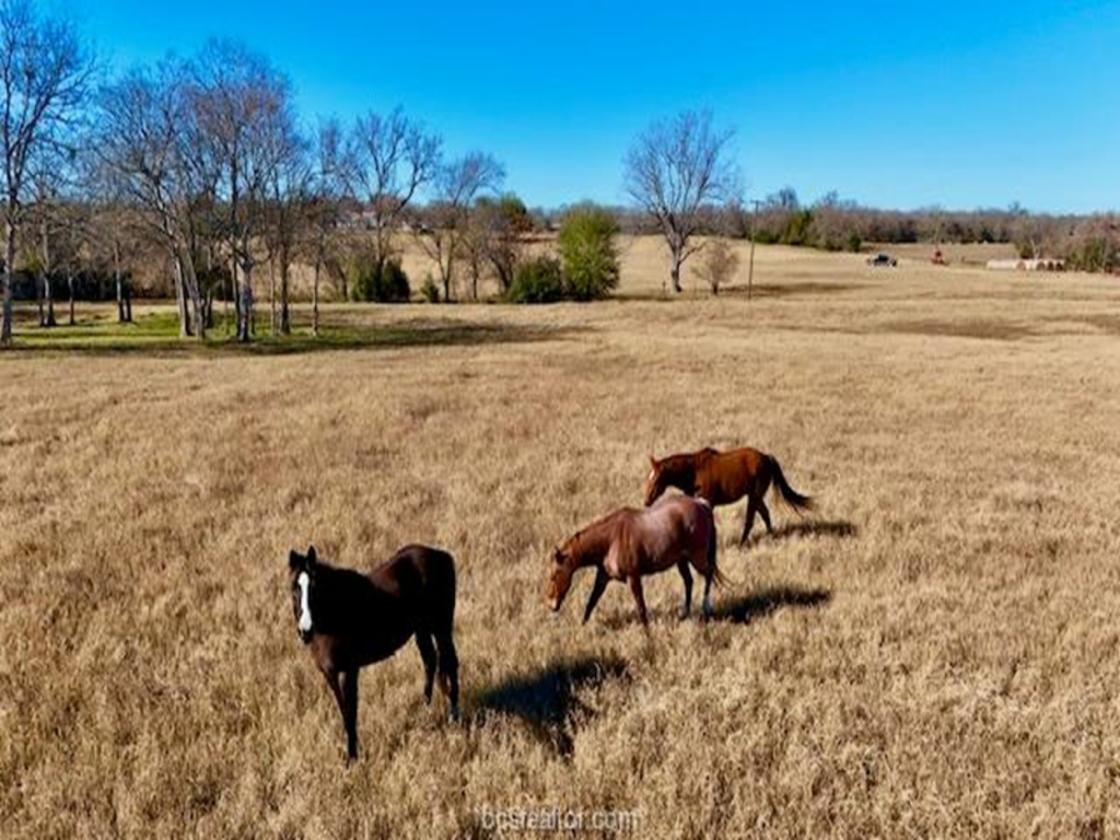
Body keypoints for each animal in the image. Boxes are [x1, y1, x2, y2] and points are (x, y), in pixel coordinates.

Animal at [288, 544, 460, 763]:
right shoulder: (330, 674)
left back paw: (454, 717)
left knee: (450, 663)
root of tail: (441, 555)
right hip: (421, 629)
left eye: (315, 588)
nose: (305, 631)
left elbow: (351, 712)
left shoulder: (350, 670)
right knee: (430, 661)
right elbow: (343, 710)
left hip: (441, 627)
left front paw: (352, 758)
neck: (333, 616)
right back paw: (425, 710)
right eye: (294, 588)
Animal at [546, 494, 722, 627]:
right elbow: (592, 601)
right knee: (689, 581)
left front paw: (647, 633)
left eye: (554, 576)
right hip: (682, 560)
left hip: (696, 558)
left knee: (708, 574)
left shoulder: (633, 578)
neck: (611, 539)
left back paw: (706, 607)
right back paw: (686, 613)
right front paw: (582, 626)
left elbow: (641, 607)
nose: (551, 605)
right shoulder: (603, 577)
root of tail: (701, 504)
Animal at [643, 446, 814, 546]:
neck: (694, 472)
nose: (646, 501)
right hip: (755, 496)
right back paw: (770, 536)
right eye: (648, 478)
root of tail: (766, 457)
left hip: (754, 496)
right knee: (764, 513)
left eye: (656, 479)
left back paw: (742, 543)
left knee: (750, 519)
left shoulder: (708, 503)